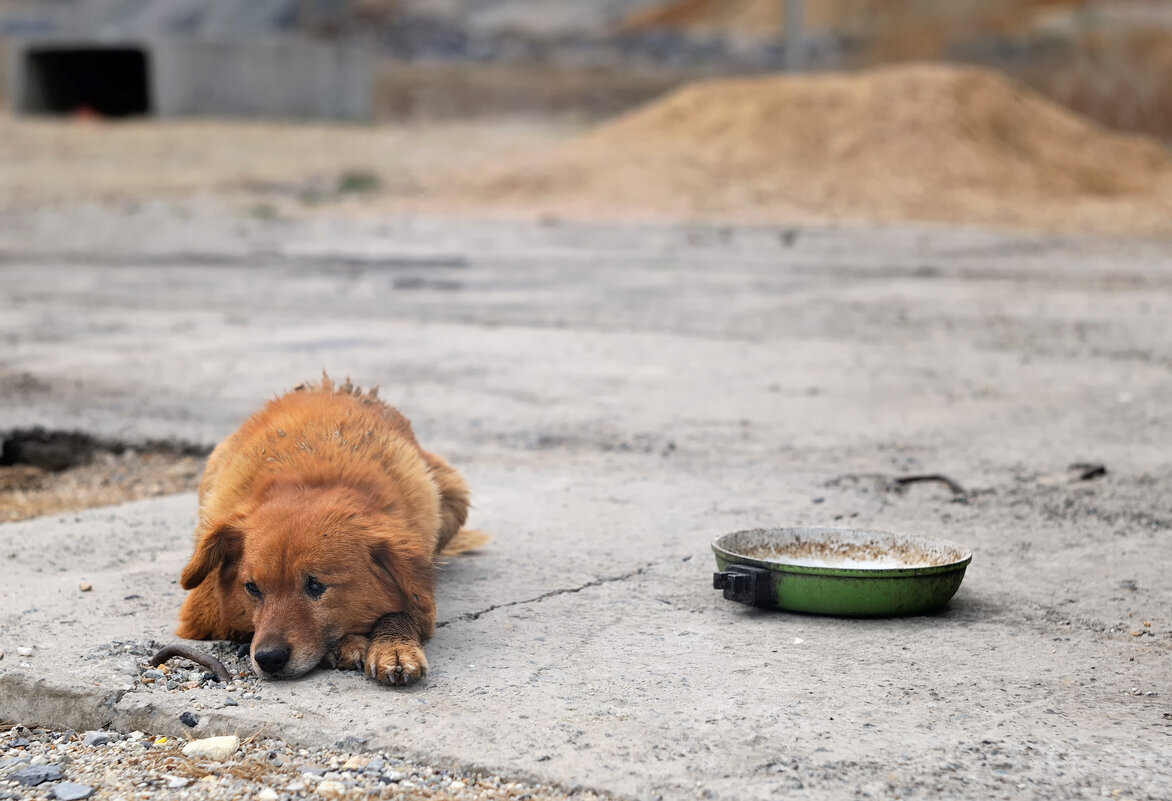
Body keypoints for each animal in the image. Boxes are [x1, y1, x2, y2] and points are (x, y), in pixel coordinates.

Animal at [174, 375, 485, 684]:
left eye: (316, 585)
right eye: (252, 588)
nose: (269, 659)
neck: (311, 481)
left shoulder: (421, 586)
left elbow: (401, 611)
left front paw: (393, 646)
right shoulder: (203, 611)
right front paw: (346, 646)